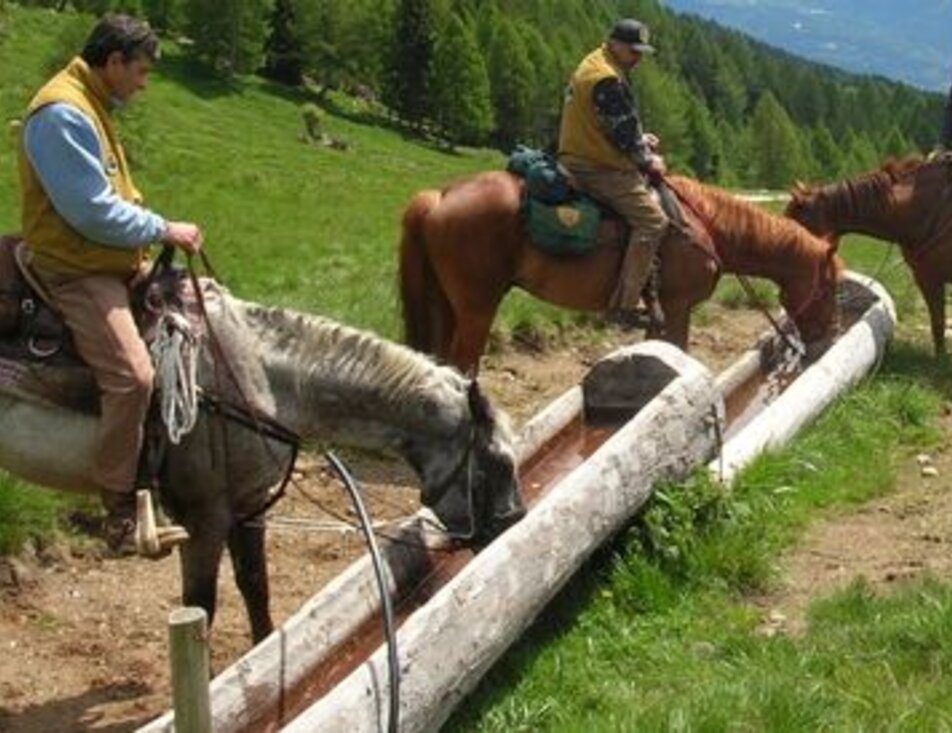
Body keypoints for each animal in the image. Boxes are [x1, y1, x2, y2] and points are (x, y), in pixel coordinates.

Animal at [0, 278, 525, 644]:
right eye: (497, 461)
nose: (514, 523)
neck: (257, 379)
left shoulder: (249, 506)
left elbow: (254, 585)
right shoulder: (204, 518)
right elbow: (202, 605)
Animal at [398, 171, 844, 373]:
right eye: (830, 287)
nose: (829, 337)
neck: (706, 227)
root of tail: (441, 197)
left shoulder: (662, 312)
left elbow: (656, 352)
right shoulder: (678, 307)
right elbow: (679, 350)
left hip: (445, 304)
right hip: (477, 307)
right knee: (462, 364)